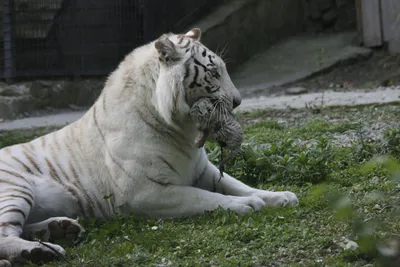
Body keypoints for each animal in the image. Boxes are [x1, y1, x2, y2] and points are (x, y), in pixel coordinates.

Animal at [0, 28, 298, 266]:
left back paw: (60, 229)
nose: (238, 101)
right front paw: (248, 204)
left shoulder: (203, 170)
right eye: (214, 73)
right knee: (5, 234)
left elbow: (239, 184)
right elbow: (203, 197)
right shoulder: (144, 192)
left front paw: (280, 196)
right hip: (14, 188)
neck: (180, 130)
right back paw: (40, 251)